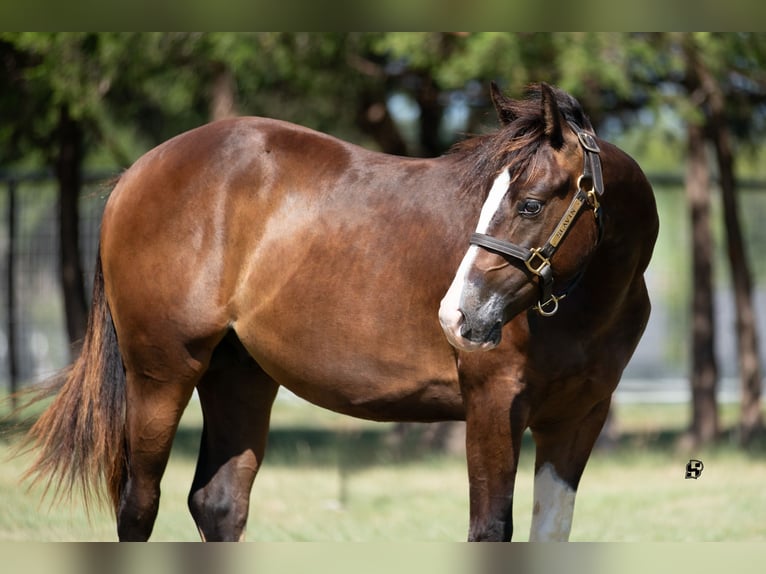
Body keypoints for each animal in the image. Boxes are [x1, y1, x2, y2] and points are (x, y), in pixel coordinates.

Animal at [24, 83, 660, 544]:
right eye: (491, 198)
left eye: (529, 204)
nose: (457, 316)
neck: (587, 306)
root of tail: (135, 173)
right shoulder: (492, 405)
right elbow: (490, 530)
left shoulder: (576, 419)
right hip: (161, 375)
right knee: (139, 504)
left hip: (239, 375)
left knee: (219, 504)